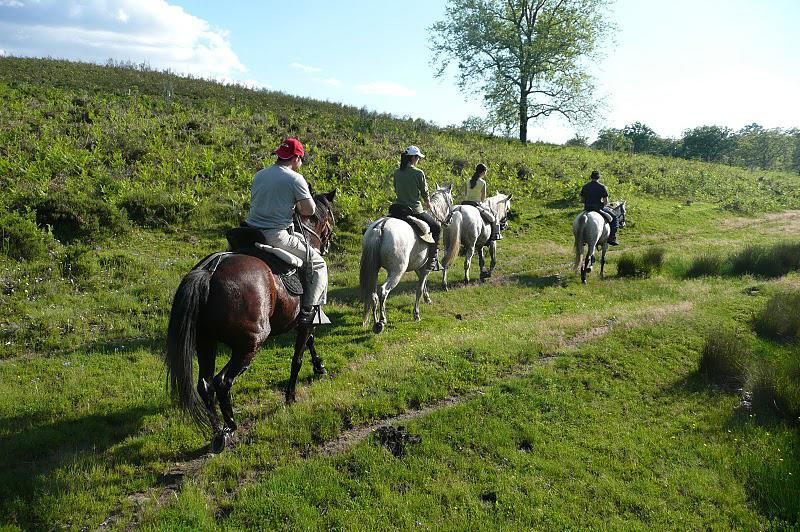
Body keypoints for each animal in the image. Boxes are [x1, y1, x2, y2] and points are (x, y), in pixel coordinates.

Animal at [166, 189, 334, 450]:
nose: (327, 243)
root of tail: (210, 271)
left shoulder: (301, 319)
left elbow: (310, 342)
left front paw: (319, 366)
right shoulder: (306, 317)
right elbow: (298, 357)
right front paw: (290, 396)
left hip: (206, 341)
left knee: (205, 385)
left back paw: (219, 432)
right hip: (250, 343)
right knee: (222, 382)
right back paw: (231, 425)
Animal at [360, 185, 454, 330]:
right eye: (451, 200)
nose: (450, 219)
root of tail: (380, 227)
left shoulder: (418, 266)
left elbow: (423, 285)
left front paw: (427, 299)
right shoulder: (425, 268)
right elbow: (419, 289)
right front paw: (416, 314)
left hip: (374, 270)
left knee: (373, 294)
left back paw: (375, 322)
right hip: (396, 272)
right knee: (383, 291)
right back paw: (382, 320)